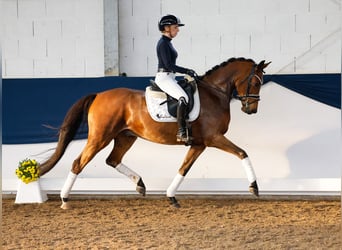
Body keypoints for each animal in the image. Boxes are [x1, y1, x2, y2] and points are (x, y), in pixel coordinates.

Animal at [38, 57, 272, 209]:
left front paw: (171, 197)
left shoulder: (199, 143)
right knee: (78, 163)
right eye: (255, 81)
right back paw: (64, 199)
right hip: (99, 137)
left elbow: (184, 168)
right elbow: (242, 153)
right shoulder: (214, 138)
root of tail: (99, 95)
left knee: (112, 160)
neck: (215, 93)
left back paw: (140, 184)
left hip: (125, 137)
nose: (251, 109)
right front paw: (254, 187)